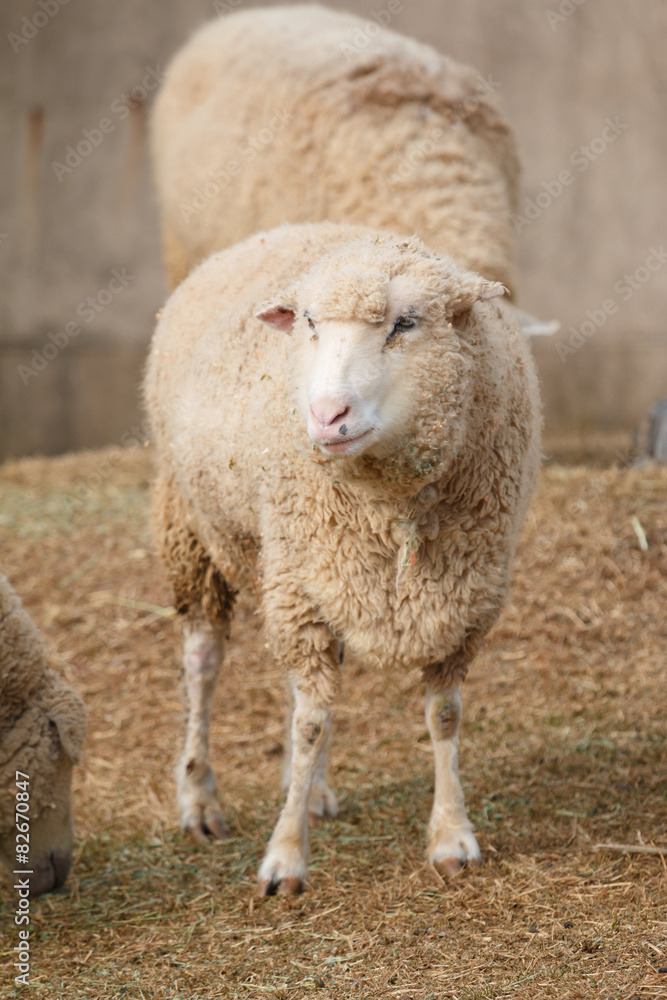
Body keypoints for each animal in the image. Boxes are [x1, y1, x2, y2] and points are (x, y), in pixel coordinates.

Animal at [146, 223, 544, 896]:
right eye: (308, 323)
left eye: (406, 323)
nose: (326, 416)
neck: (391, 504)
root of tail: (270, 233)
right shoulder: (300, 584)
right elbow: (308, 723)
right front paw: (284, 858)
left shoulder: (464, 598)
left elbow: (444, 717)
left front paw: (451, 837)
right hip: (201, 530)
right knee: (204, 664)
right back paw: (200, 797)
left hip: (304, 568)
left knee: (307, 683)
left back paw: (309, 790)